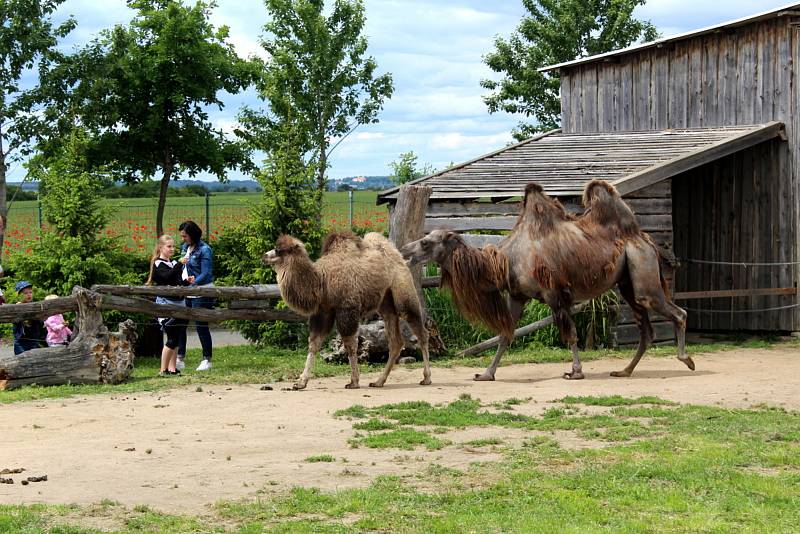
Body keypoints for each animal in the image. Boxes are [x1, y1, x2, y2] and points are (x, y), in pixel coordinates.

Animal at [262, 230, 432, 390]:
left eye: (279, 250)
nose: (264, 256)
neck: (321, 281)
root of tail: (397, 254)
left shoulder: (347, 309)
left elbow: (350, 344)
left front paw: (354, 381)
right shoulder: (323, 312)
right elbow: (314, 344)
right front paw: (300, 383)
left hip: (403, 289)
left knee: (420, 330)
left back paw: (426, 378)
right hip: (385, 302)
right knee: (396, 340)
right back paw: (379, 381)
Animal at [404, 182, 692, 384]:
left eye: (426, 242)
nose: (406, 250)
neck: (505, 260)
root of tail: (644, 238)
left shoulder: (554, 294)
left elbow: (571, 333)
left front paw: (575, 372)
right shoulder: (517, 295)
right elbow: (505, 335)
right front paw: (486, 374)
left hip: (641, 268)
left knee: (675, 312)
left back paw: (686, 359)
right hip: (626, 283)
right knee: (647, 329)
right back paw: (624, 371)